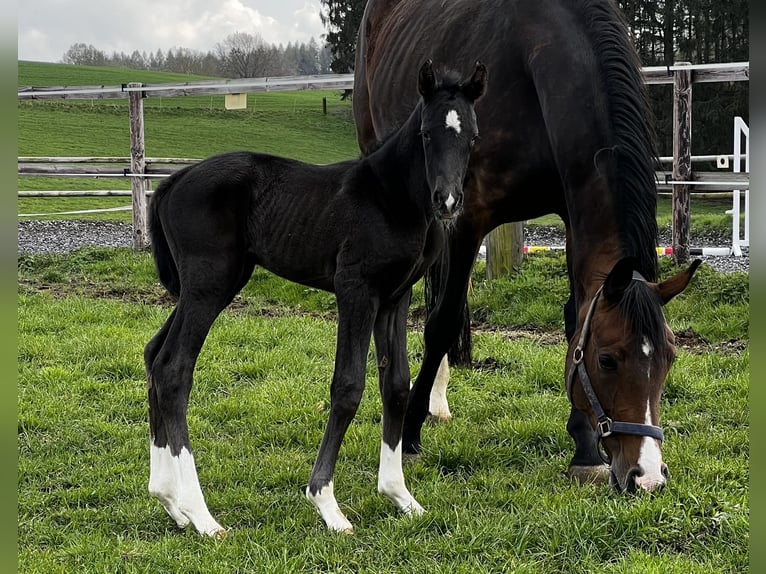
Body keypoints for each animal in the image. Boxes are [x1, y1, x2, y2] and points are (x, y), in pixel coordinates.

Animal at [143, 60, 488, 535]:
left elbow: (396, 385)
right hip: (208, 284)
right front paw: (326, 503)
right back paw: (202, 516)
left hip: (207, 286)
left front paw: (400, 496)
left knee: (153, 355)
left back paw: (170, 501)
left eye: (471, 135)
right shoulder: (356, 291)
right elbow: (348, 386)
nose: (449, 202)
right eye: (426, 134)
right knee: (174, 369)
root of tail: (171, 182)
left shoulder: (394, 298)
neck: (391, 198)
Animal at [353, 0, 701, 493]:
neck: (535, 58)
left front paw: (584, 448)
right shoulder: (467, 218)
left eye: (670, 357)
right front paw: (412, 431)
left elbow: (575, 317)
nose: (647, 477)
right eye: (608, 360)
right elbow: (441, 322)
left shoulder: (572, 209)